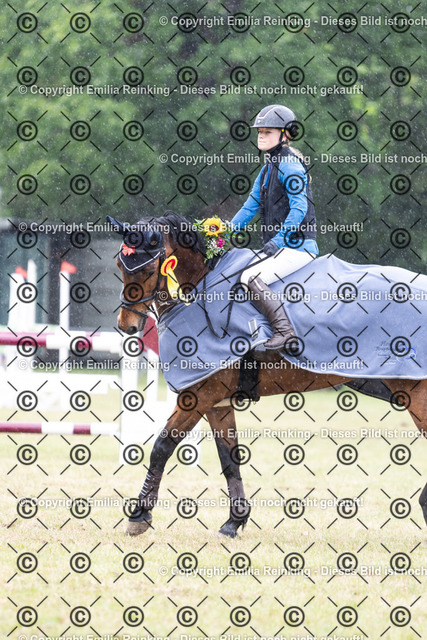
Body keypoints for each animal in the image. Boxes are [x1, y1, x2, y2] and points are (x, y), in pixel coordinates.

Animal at [108, 212, 427, 538]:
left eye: (148, 269)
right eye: (120, 265)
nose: (127, 325)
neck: (202, 288)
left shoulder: (199, 395)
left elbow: (161, 446)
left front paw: (139, 516)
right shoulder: (217, 401)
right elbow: (229, 459)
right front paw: (234, 522)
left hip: (417, 394)